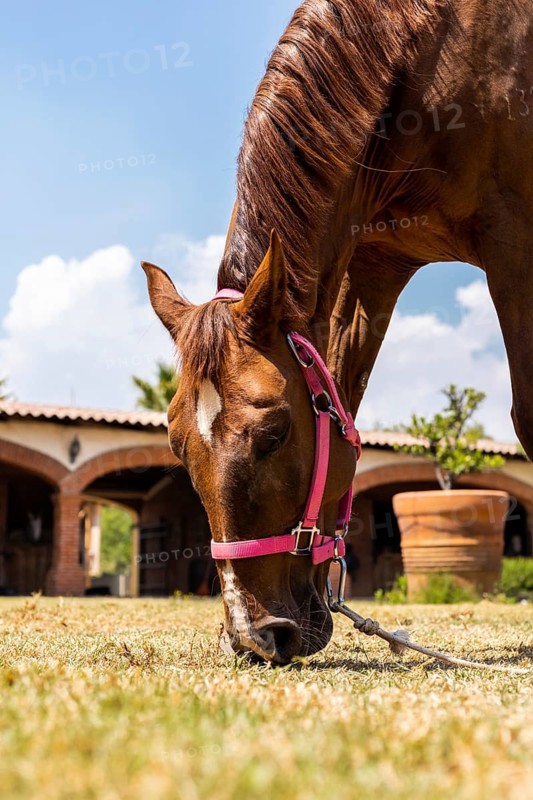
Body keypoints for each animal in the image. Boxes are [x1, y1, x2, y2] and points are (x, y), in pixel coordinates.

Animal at [143, 0, 533, 664]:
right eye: (175, 445)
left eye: (274, 434)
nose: (255, 636)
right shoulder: (371, 266)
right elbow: (343, 393)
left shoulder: (515, 243)